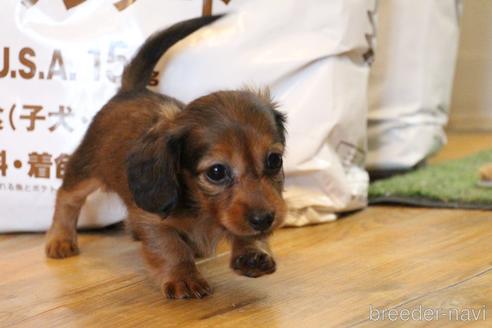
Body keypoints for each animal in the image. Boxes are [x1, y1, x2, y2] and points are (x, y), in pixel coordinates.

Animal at [45, 16, 288, 300]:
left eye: (274, 160)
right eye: (216, 172)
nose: (265, 219)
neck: (201, 206)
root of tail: (130, 91)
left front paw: (253, 252)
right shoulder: (151, 219)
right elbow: (171, 247)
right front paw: (184, 277)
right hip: (86, 168)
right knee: (67, 197)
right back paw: (61, 239)